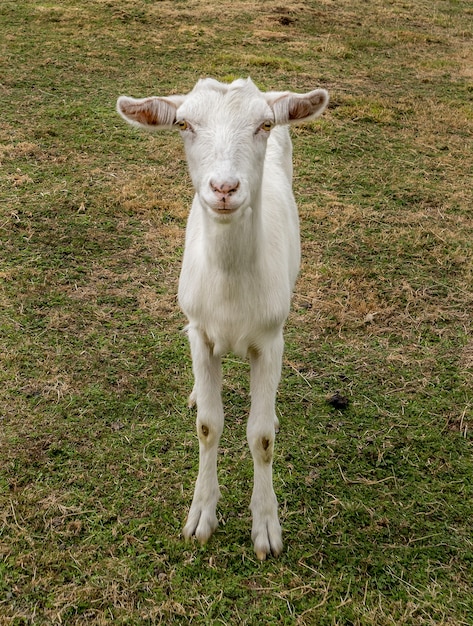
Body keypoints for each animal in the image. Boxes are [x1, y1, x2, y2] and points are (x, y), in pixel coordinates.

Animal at [116, 75, 326, 560]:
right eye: (184, 124)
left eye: (264, 125)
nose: (225, 188)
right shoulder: (199, 331)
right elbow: (208, 425)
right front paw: (200, 519)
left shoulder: (270, 338)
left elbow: (262, 436)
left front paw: (266, 529)